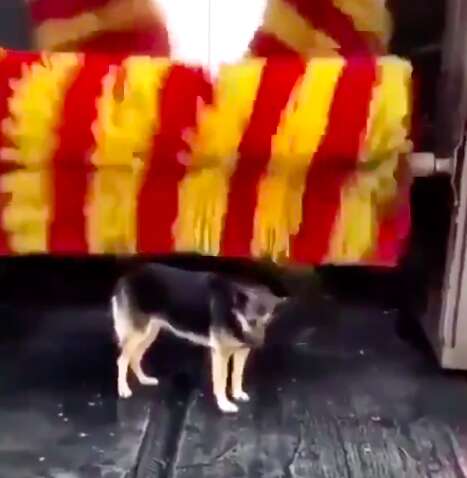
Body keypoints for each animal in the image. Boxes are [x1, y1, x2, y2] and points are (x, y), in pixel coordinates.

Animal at [112, 264, 286, 412]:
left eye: (268, 321)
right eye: (251, 321)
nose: (257, 344)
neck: (233, 310)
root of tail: (126, 277)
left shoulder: (241, 351)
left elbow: (237, 375)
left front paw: (237, 394)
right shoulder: (220, 354)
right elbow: (221, 380)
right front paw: (224, 404)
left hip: (149, 333)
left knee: (134, 357)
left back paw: (144, 380)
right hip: (139, 333)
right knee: (122, 360)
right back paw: (123, 389)